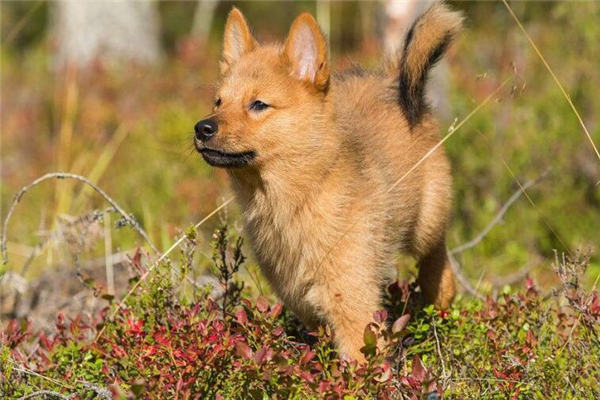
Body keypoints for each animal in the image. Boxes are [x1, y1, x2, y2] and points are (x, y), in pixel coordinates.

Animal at [195, 2, 462, 360]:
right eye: (219, 102)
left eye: (259, 104)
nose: (201, 128)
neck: (297, 199)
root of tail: (392, 80)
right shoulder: (303, 303)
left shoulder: (354, 308)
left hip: (426, 221)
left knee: (437, 254)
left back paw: (439, 291)